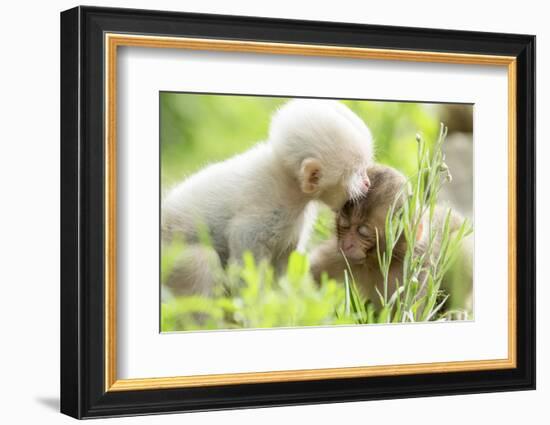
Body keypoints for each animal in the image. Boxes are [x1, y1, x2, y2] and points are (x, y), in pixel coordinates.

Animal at [160, 98, 376, 294]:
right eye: (357, 173)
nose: (367, 183)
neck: (290, 184)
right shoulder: (259, 217)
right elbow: (247, 267)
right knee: (200, 262)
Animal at [310, 164, 474, 314]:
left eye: (363, 233)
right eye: (344, 226)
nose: (347, 244)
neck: (377, 263)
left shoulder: (416, 272)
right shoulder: (339, 256)